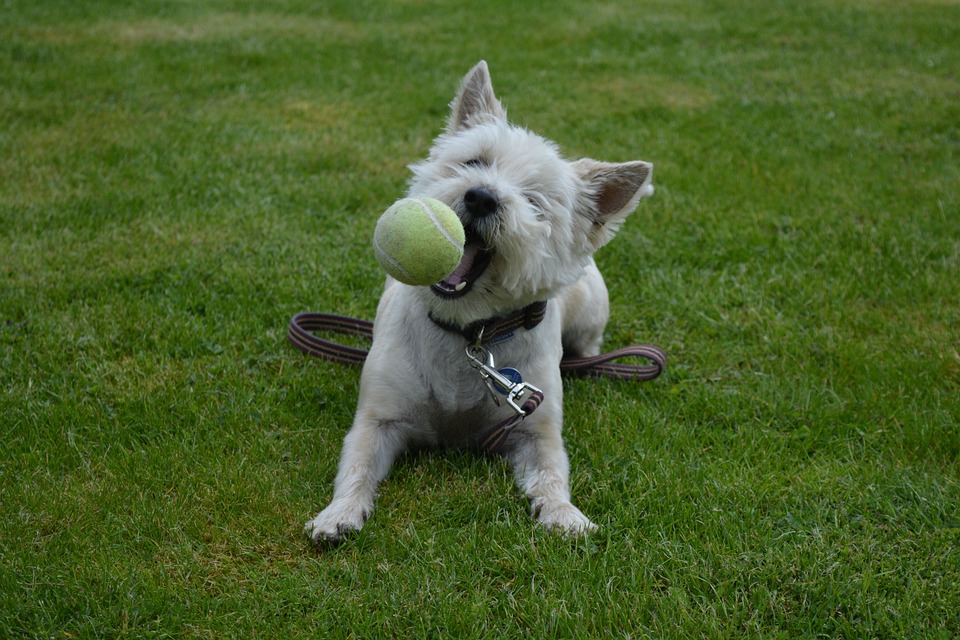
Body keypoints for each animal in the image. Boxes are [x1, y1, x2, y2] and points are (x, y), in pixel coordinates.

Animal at [306, 60, 652, 544]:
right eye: (475, 162)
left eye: (535, 202)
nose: (481, 196)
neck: (470, 333)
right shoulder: (377, 420)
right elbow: (356, 468)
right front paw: (337, 515)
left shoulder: (535, 429)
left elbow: (551, 475)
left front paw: (565, 515)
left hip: (590, 312)